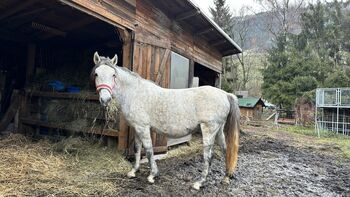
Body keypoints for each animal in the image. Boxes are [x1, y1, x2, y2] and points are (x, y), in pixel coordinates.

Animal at [91, 52, 241, 189]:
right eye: (97, 74)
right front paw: (134, 171)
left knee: (208, 157)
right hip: (219, 131)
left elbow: (149, 150)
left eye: (113, 75)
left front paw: (152, 175)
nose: (105, 100)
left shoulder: (143, 128)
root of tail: (225, 94)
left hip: (209, 130)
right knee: (225, 150)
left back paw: (199, 183)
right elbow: (137, 148)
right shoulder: (137, 127)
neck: (135, 93)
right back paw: (226, 177)